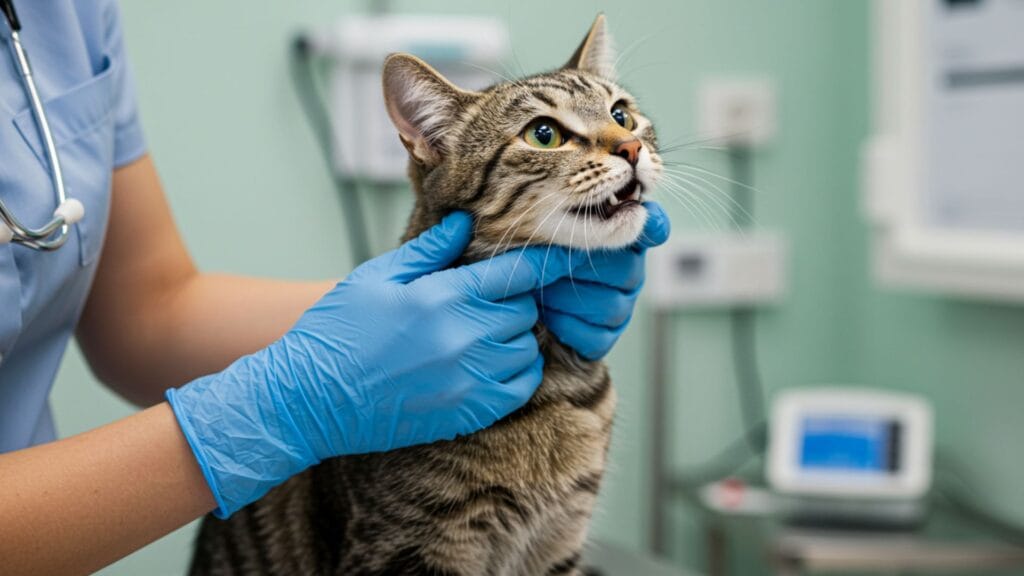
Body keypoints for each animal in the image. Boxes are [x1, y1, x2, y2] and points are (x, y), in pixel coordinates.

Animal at [190, 14, 663, 573]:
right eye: (544, 134)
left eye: (622, 114)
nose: (630, 148)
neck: (552, 377)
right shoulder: (408, 547)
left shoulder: (560, 538)